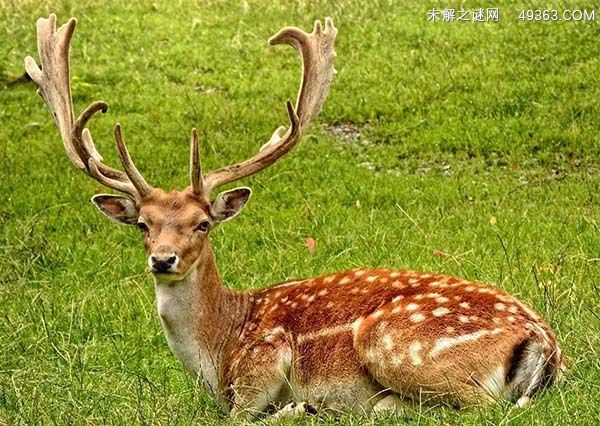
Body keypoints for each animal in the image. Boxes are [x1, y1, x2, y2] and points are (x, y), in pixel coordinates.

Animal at [24, 12, 568, 420]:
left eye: (203, 223)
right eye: (143, 224)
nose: (163, 259)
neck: (218, 349)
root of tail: (543, 340)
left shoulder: (261, 364)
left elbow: (243, 414)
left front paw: (298, 406)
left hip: (394, 342)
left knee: (478, 406)